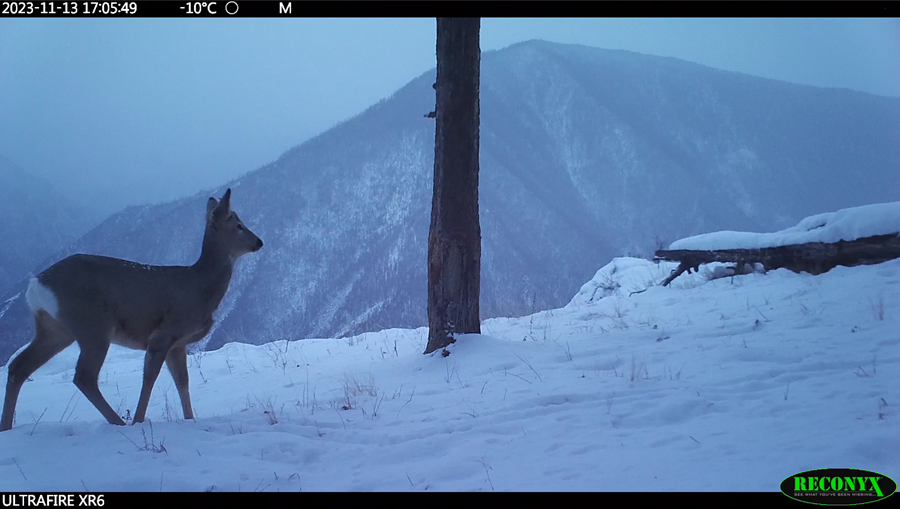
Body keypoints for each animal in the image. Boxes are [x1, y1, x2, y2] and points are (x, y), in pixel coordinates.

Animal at [2, 189, 264, 430]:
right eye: (239, 225)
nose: (259, 242)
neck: (200, 287)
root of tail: (35, 285)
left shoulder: (178, 344)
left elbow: (182, 381)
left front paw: (190, 419)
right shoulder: (164, 333)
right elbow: (149, 378)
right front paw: (139, 420)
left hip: (55, 329)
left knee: (18, 366)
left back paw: (6, 426)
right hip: (93, 324)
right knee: (84, 376)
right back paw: (119, 422)